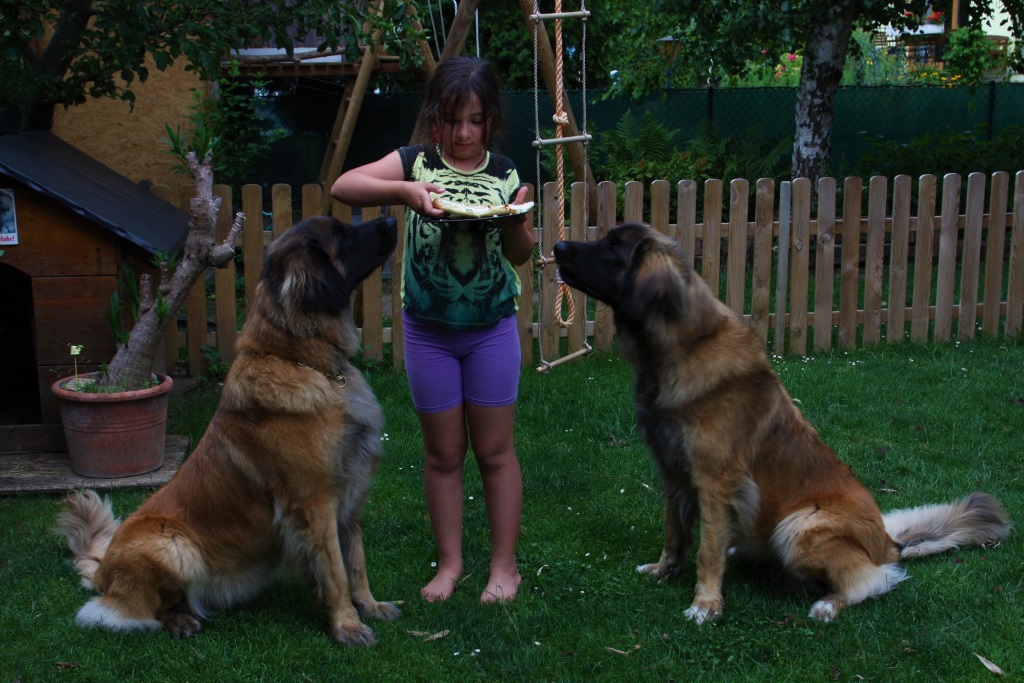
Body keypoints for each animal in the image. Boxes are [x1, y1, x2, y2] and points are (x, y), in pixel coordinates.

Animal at [56, 215, 399, 647]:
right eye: (341, 234)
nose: (392, 219)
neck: (306, 362)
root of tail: (103, 571)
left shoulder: (350, 494)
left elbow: (355, 560)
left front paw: (369, 605)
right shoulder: (315, 501)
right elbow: (335, 570)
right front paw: (347, 625)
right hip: (175, 546)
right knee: (138, 610)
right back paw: (180, 621)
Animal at [552, 224, 1007, 626]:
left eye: (614, 248)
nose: (557, 245)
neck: (678, 348)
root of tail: (888, 544)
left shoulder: (715, 482)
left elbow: (707, 550)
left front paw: (705, 605)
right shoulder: (674, 475)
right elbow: (674, 533)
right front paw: (664, 571)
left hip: (801, 525)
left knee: (872, 580)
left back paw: (827, 604)